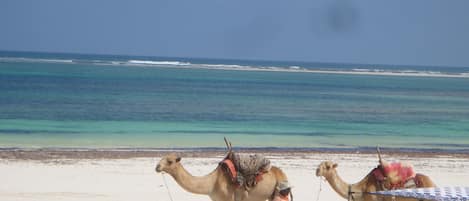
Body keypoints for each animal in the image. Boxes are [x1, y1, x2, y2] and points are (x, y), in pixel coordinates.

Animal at [155, 152, 290, 201]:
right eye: (161, 158)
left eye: (170, 161)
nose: (157, 167)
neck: (212, 183)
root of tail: (282, 173)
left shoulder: (227, 198)